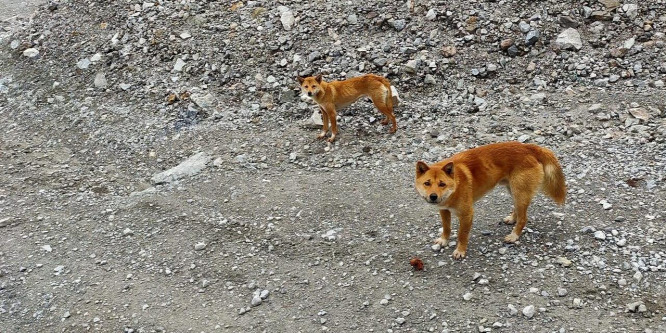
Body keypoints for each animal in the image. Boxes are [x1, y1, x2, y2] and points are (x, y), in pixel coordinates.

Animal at [412, 141, 564, 258]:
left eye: (442, 184)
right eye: (427, 183)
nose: (433, 196)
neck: (456, 184)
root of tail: (527, 146)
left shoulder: (467, 214)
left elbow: (462, 235)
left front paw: (460, 251)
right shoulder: (444, 210)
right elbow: (446, 228)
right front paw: (444, 240)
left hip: (520, 192)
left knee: (523, 218)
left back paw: (514, 236)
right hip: (514, 191)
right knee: (518, 211)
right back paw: (512, 219)